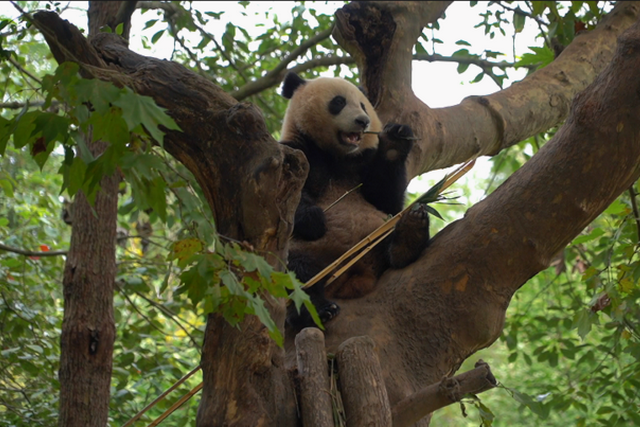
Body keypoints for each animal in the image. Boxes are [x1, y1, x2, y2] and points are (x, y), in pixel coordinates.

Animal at [280, 72, 430, 330]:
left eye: (363, 105)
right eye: (339, 102)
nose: (363, 121)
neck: (337, 155)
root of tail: (356, 276)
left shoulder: (364, 161)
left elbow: (386, 201)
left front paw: (395, 142)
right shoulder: (295, 152)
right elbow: (286, 199)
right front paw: (313, 220)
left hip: (376, 235)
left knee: (389, 238)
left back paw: (409, 237)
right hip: (301, 251)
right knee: (299, 277)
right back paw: (319, 310)